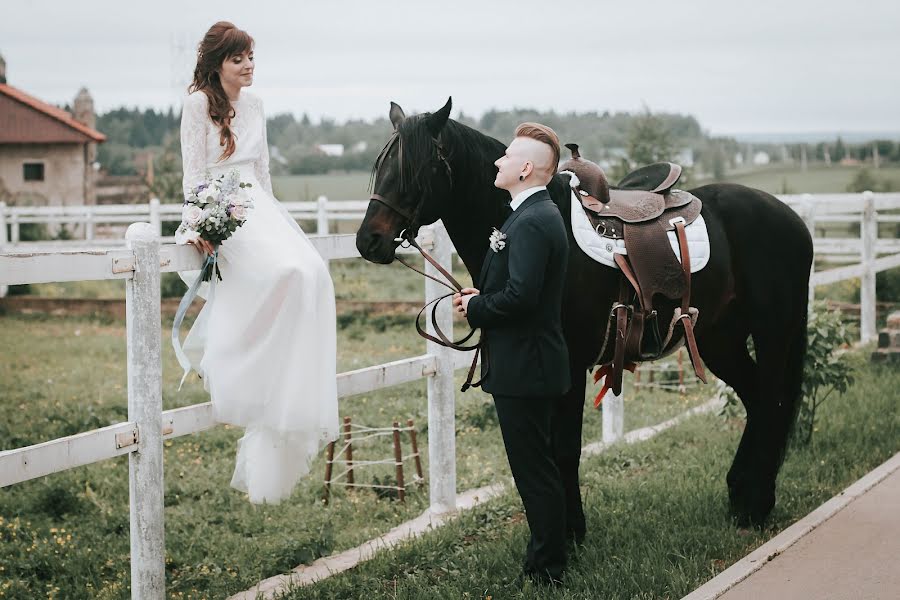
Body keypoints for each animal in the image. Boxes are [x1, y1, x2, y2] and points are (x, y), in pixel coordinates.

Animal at [356, 97, 812, 524]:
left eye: (414, 168)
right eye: (380, 166)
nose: (367, 240)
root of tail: (792, 218)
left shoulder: (570, 364)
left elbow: (564, 450)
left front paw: (572, 532)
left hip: (773, 333)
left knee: (772, 401)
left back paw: (758, 500)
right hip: (720, 340)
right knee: (757, 400)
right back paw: (743, 495)